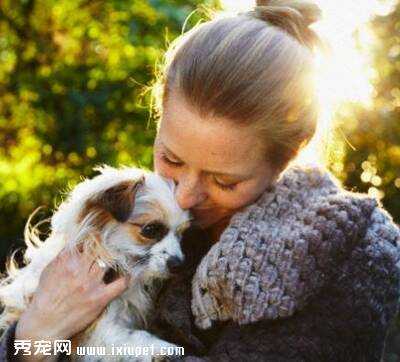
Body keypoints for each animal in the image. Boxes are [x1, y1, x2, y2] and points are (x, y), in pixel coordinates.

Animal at [0, 165, 191, 360]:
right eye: (151, 230)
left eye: (181, 234)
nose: (178, 264)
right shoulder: (96, 333)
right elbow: (135, 336)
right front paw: (164, 348)